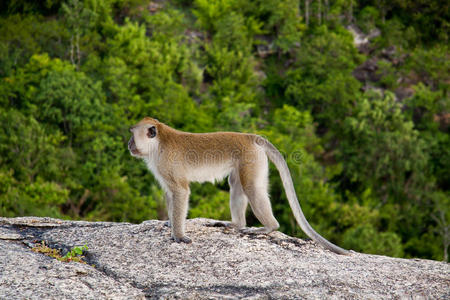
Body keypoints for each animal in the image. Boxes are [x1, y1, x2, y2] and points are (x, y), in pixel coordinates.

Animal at [128, 116, 350, 254]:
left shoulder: (167, 163)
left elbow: (181, 192)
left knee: (251, 187)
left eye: (132, 134)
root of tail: (250, 136)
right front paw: (170, 222)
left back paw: (269, 227)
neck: (158, 144)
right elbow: (170, 193)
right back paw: (237, 224)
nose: (128, 144)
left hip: (251, 159)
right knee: (236, 185)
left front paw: (179, 235)